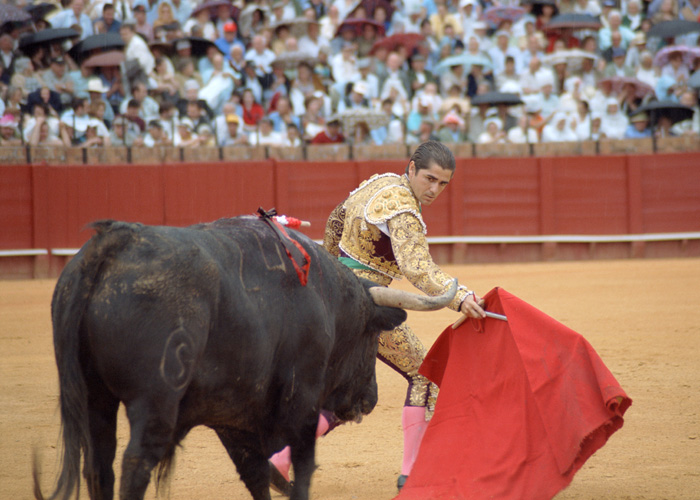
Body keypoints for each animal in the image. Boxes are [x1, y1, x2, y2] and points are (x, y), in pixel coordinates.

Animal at [35, 217, 456, 500]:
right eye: (370, 335)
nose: (369, 399)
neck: (327, 298)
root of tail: (112, 246)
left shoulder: (232, 414)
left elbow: (254, 473)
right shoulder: (301, 398)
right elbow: (303, 466)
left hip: (94, 398)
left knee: (98, 467)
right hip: (154, 401)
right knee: (134, 464)